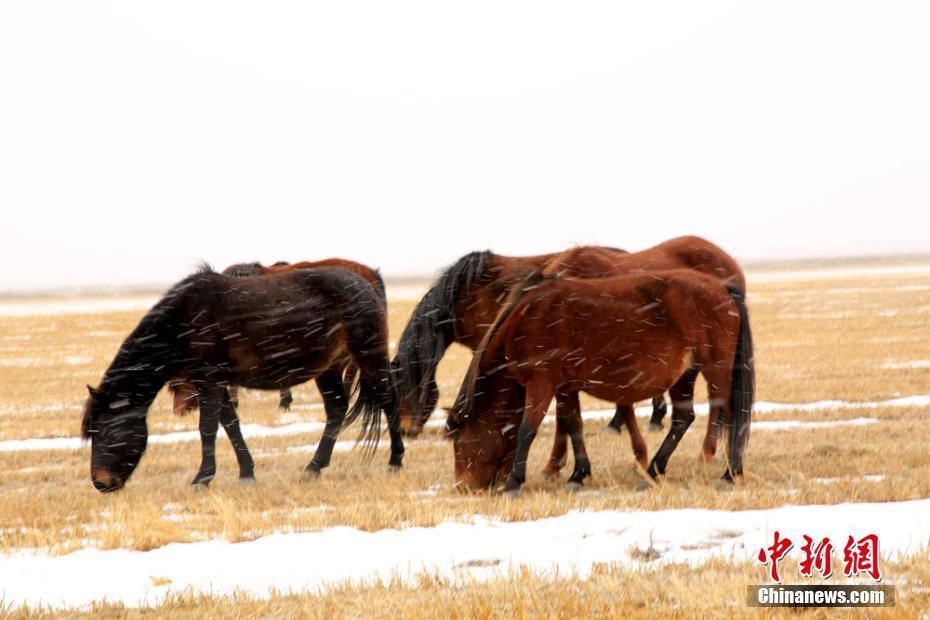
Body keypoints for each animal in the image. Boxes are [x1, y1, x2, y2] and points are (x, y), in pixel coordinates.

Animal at [396, 237, 744, 484]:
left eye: (404, 385)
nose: (406, 430)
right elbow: (573, 416)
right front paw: (568, 466)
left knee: (718, 406)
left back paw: (710, 455)